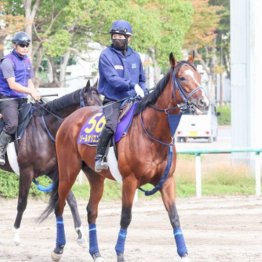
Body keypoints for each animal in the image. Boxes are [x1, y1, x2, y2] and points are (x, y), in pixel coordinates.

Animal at [0, 81, 101, 245]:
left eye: (102, 103)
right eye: (90, 104)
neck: (44, 130)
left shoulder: (52, 171)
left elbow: (71, 199)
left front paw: (80, 233)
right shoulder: (26, 171)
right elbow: (22, 203)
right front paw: (16, 235)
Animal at [40, 53, 209, 262]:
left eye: (199, 76)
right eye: (183, 78)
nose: (204, 102)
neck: (152, 133)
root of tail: (69, 119)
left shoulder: (167, 181)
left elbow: (174, 217)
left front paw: (184, 254)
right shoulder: (130, 181)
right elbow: (126, 217)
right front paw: (120, 253)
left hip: (95, 177)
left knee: (91, 211)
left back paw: (95, 253)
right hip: (68, 172)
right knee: (60, 205)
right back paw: (58, 249)